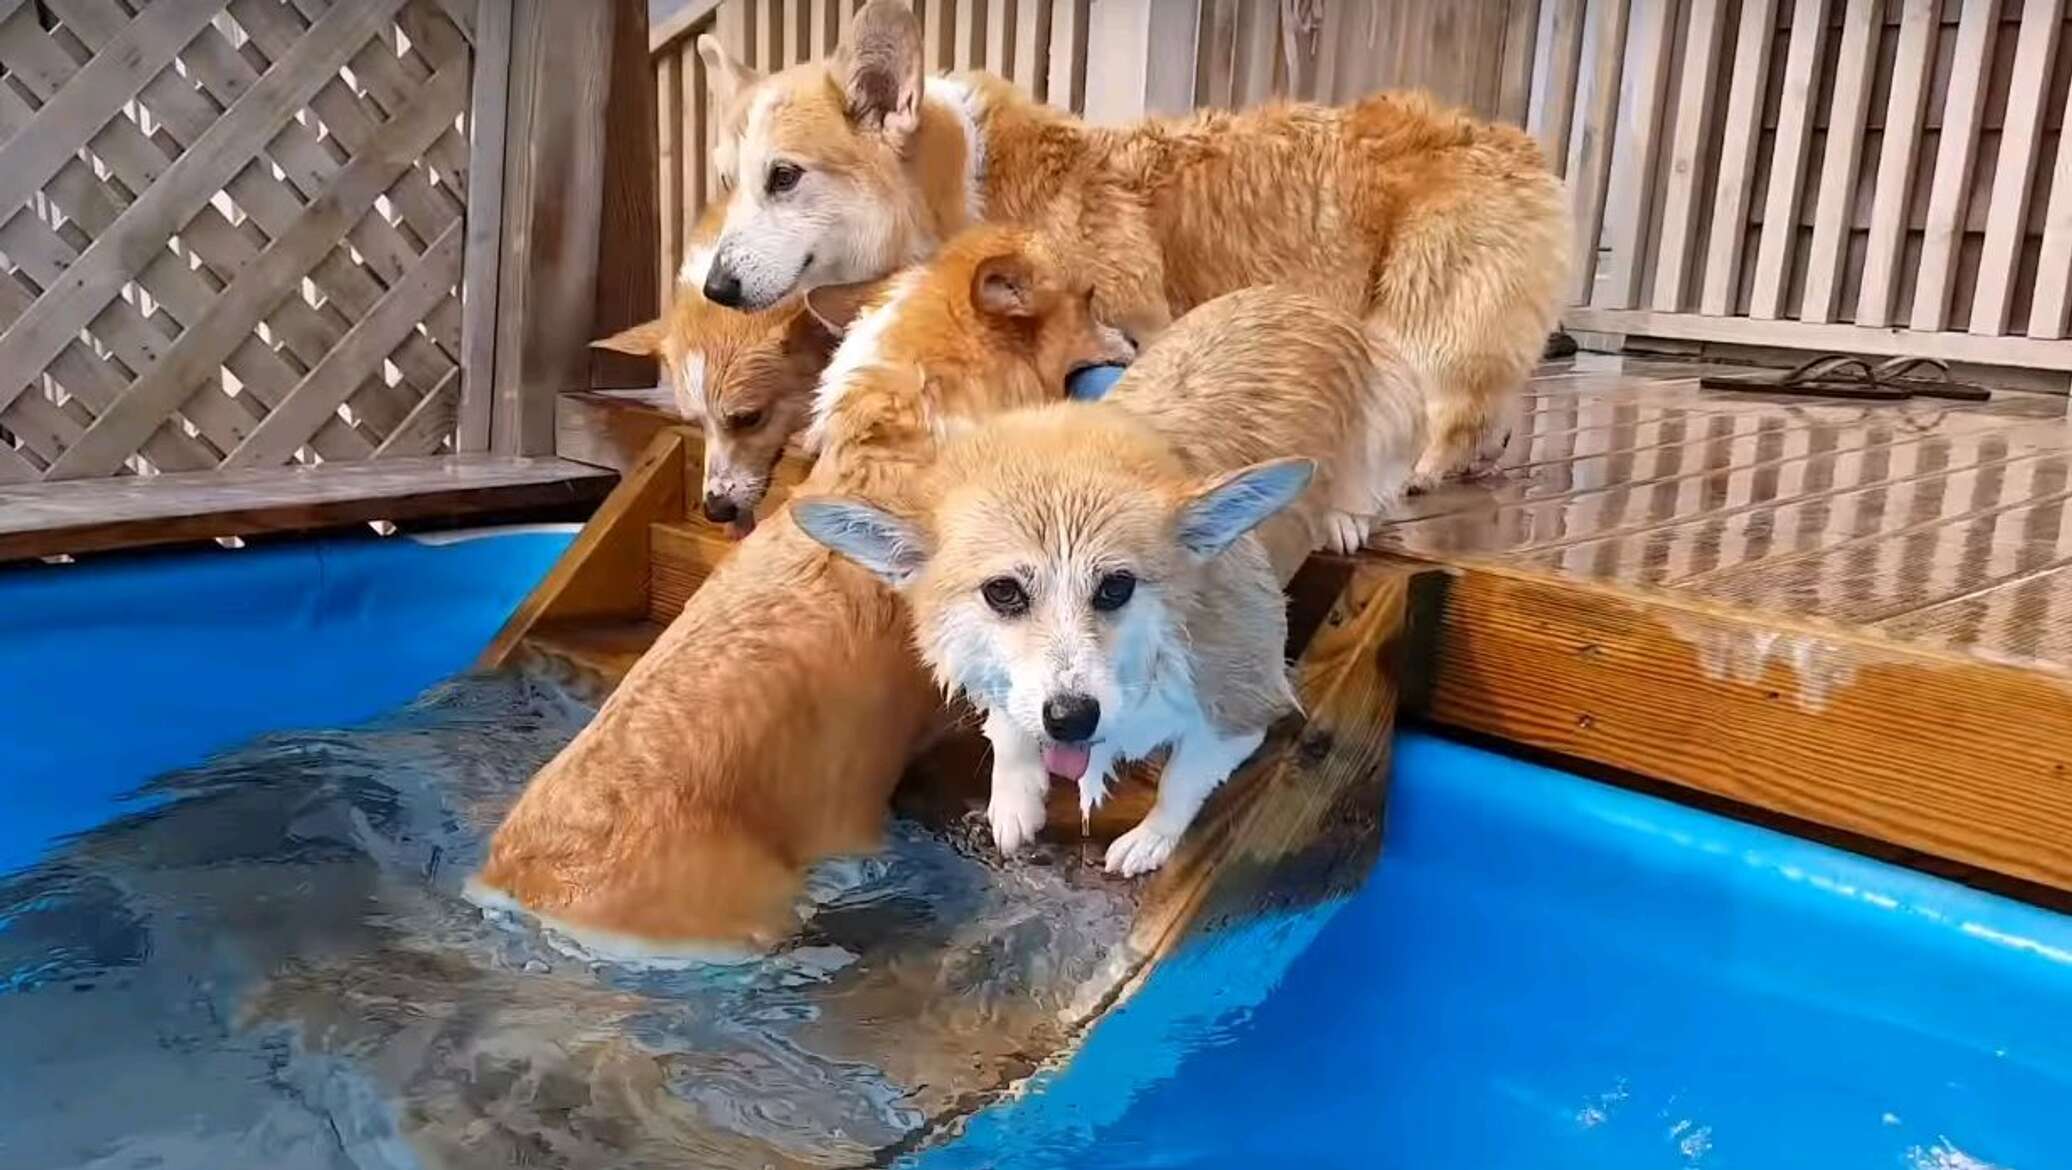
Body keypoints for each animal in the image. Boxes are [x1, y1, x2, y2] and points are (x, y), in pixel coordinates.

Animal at [791, 287, 1425, 869]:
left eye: (1116, 587)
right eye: (1003, 592)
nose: (1072, 718)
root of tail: (1301, 295)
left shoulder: (1242, 705)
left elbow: (1181, 781)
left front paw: (1149, 842)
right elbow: (1011, 728)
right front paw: (1014, 803)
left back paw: (1346, 515)